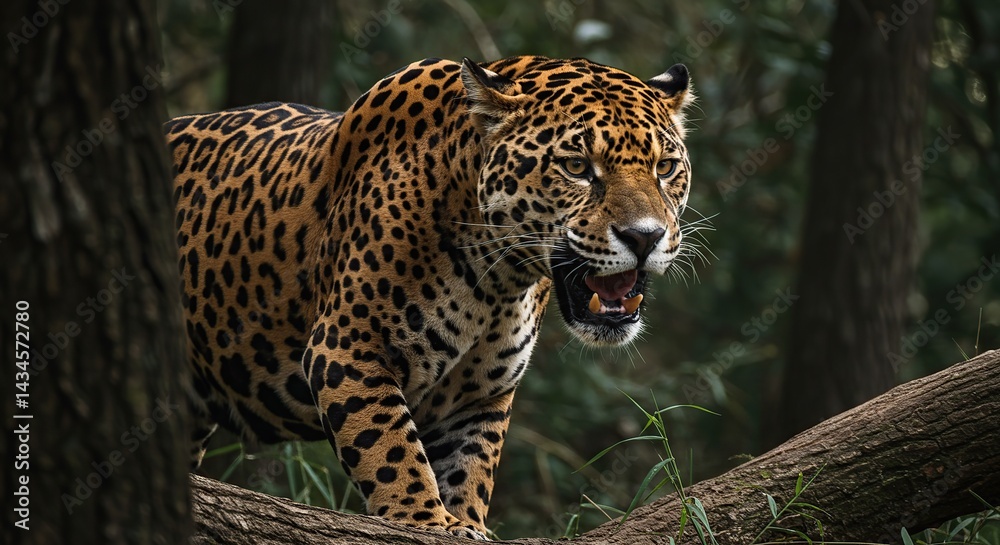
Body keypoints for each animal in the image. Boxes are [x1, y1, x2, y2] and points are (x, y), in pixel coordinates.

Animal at [164, 55, 694, 539]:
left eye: (665, 168)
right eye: (577, 167)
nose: (645, 237)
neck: (497, 281)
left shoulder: (480, 394)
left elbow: (471, 466)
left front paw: (467, 523)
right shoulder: (346, 349)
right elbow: (389, 446)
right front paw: (427, 521)